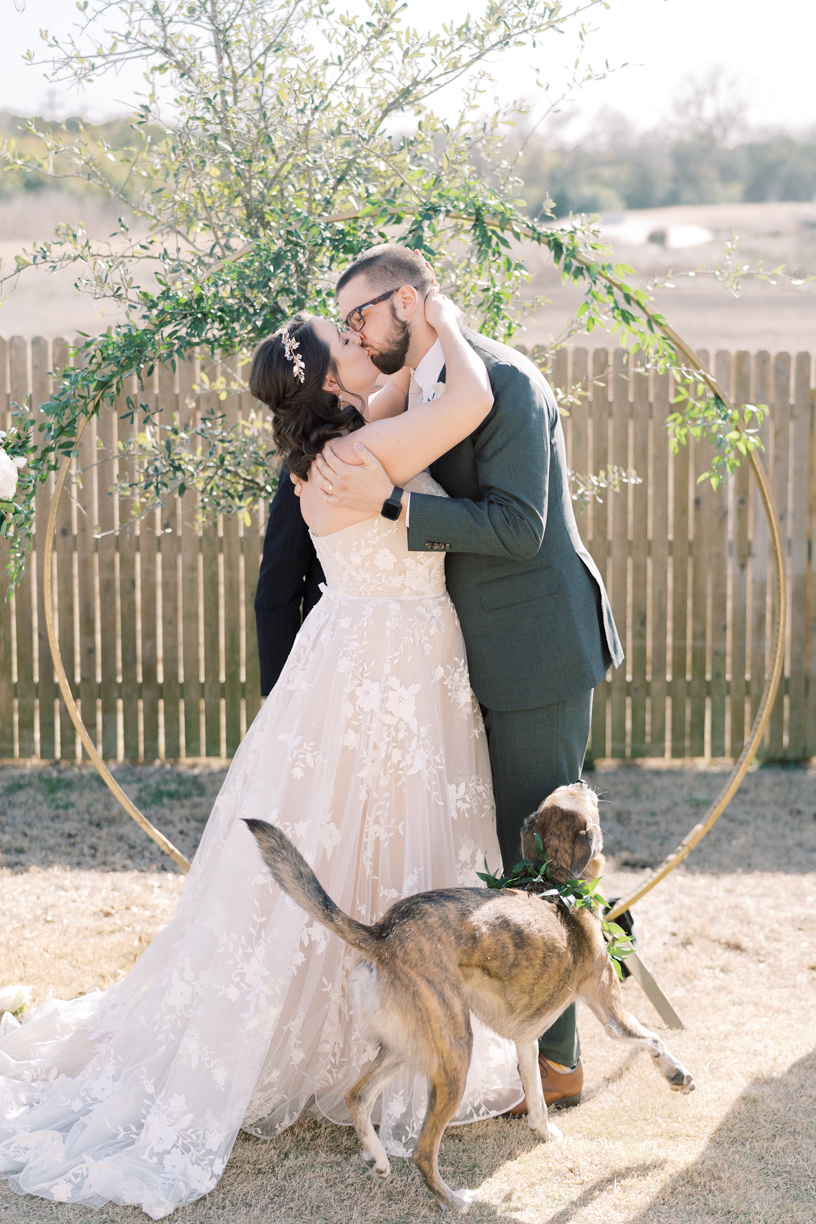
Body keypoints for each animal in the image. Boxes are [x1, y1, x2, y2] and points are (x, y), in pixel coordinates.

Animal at [244, 788, 694, 1209]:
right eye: (581, 795)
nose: (583, 779)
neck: (553, 880)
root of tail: (383, 933)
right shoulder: (610, 1011)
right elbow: (653, 1039)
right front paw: (677, 1075)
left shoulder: (526, 1040)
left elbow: (536, 1095)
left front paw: (543, 1130)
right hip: (455, 1054)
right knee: (423, 1150)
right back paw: (453, 1199)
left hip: (408, 1046)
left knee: (357, 1095)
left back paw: (378, 1158)